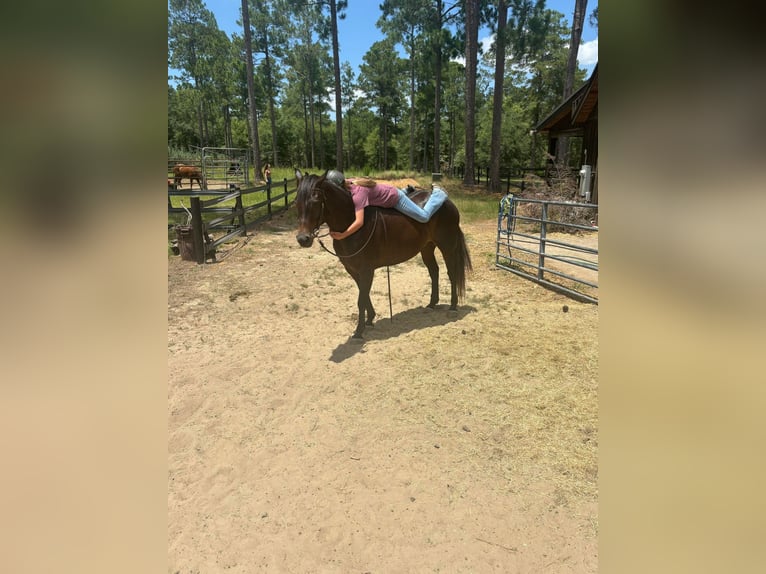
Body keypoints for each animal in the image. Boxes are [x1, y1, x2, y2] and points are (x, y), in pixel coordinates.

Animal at [294, 169, 472, 339]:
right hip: (427, 247)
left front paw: (359, 332)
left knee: (452, 273)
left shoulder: (366, 270)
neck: (352, 225)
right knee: (434, 271)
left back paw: (453, 307)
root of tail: (449, 203)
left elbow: (361, 299)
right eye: (297, 201)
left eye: (316, 200)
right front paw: (369, 320)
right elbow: (364, 295)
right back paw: (431, 304)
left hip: (447, 246)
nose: (303, 239)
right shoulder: (353, 270)